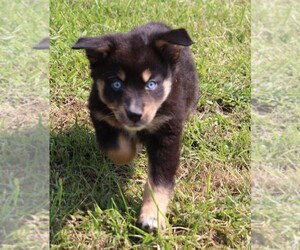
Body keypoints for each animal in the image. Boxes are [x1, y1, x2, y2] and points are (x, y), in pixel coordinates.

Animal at [72, 22, 199, 231]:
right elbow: (119, 151)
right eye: (116, 84)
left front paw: (152, 216)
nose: (134, 114)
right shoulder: (100, 116)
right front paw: (132, 146)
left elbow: (160, 181)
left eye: (151, 84)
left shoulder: (167, 134)